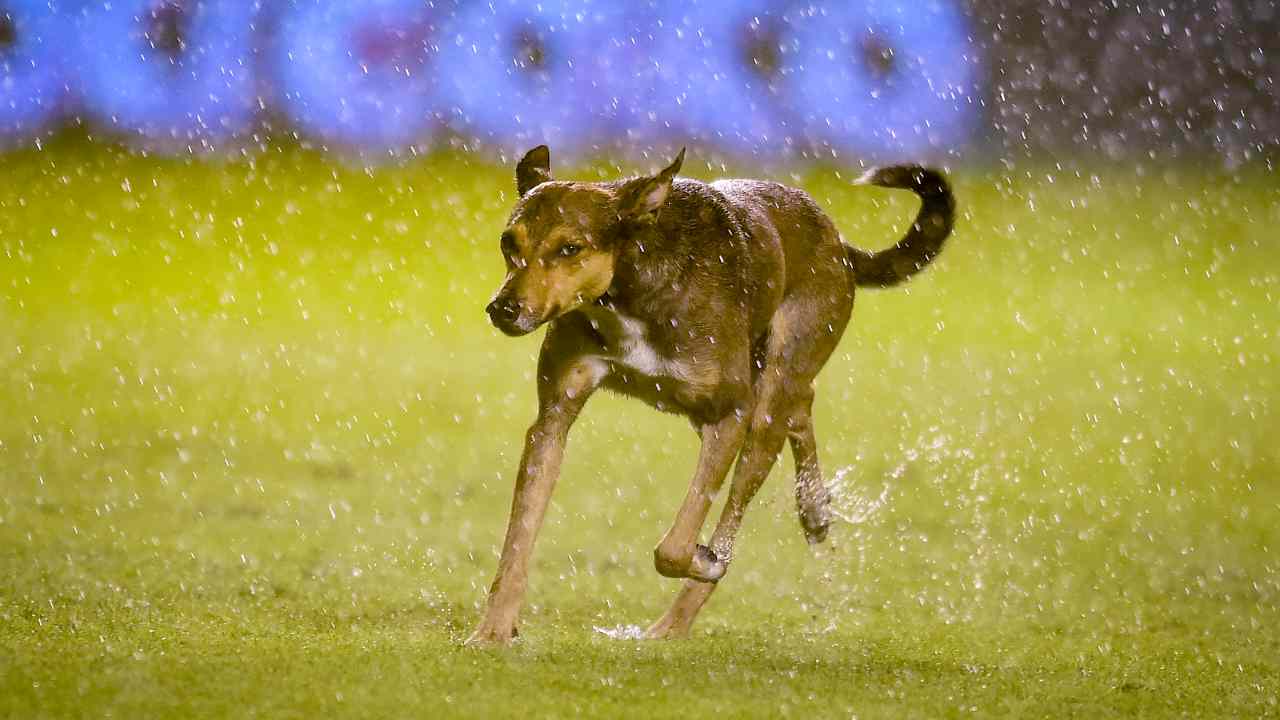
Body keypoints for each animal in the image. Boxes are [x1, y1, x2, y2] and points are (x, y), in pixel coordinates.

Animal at [468, 144, 952, 638]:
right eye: (509, 243)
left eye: (570, 248)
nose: (502, 309)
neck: (631, 289)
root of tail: (838, 241)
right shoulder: (552, 420)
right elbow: (519, 538)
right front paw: (494, 631)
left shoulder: (730, 414)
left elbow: (677, 544)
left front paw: (706, 560)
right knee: (802, 405)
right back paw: (814, 509)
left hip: (765, 401)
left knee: (746, 488)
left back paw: (677, 619)